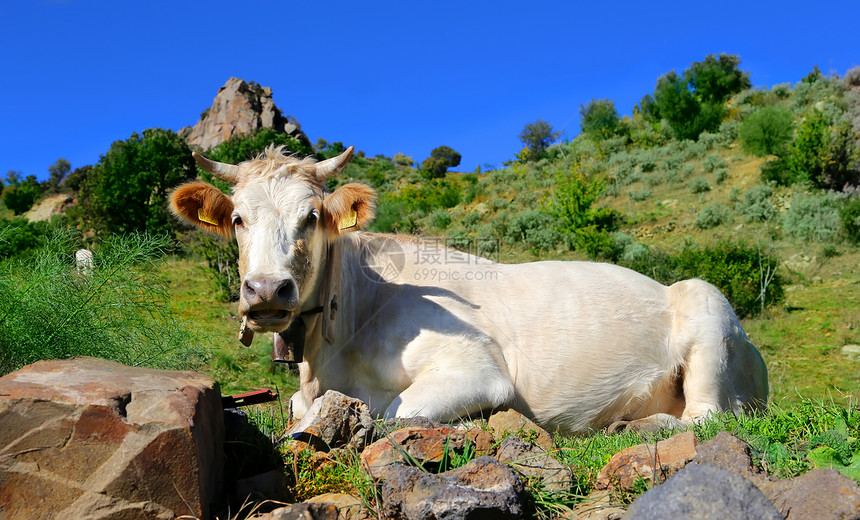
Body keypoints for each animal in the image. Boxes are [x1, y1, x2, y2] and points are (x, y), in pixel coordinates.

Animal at [170, 144, 764, 432]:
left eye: (312, 217)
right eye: (239, 219)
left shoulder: (478, 371)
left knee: (705, 415)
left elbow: (395, 413)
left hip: (706, 307)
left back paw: (632, 426)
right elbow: (298, 410)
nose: (267, 290)